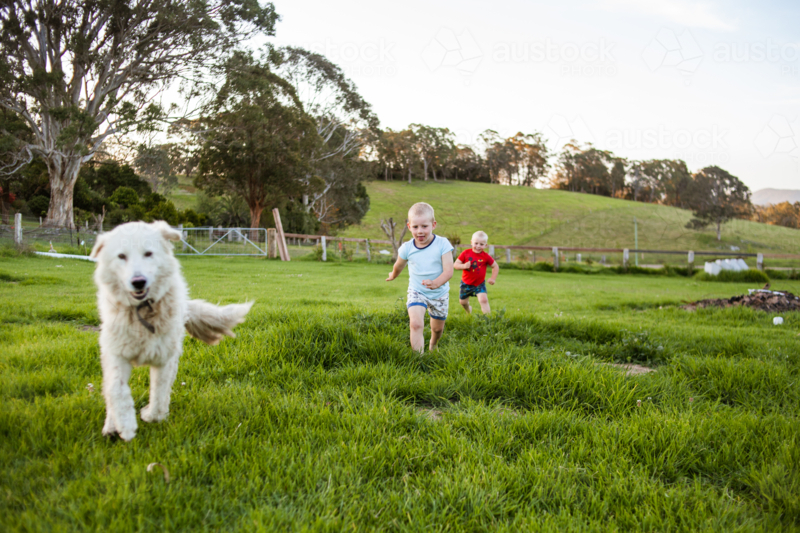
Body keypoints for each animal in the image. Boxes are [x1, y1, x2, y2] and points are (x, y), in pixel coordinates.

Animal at [90, 221, 253, 441]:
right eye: (121, 256)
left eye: (148, 253)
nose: (138, 281)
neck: (143, 312)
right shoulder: (117, 354)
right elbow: (116, 389)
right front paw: (125, 425)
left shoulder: (164, 359)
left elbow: (159, 397)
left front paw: (149, 414)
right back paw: (111, 425)